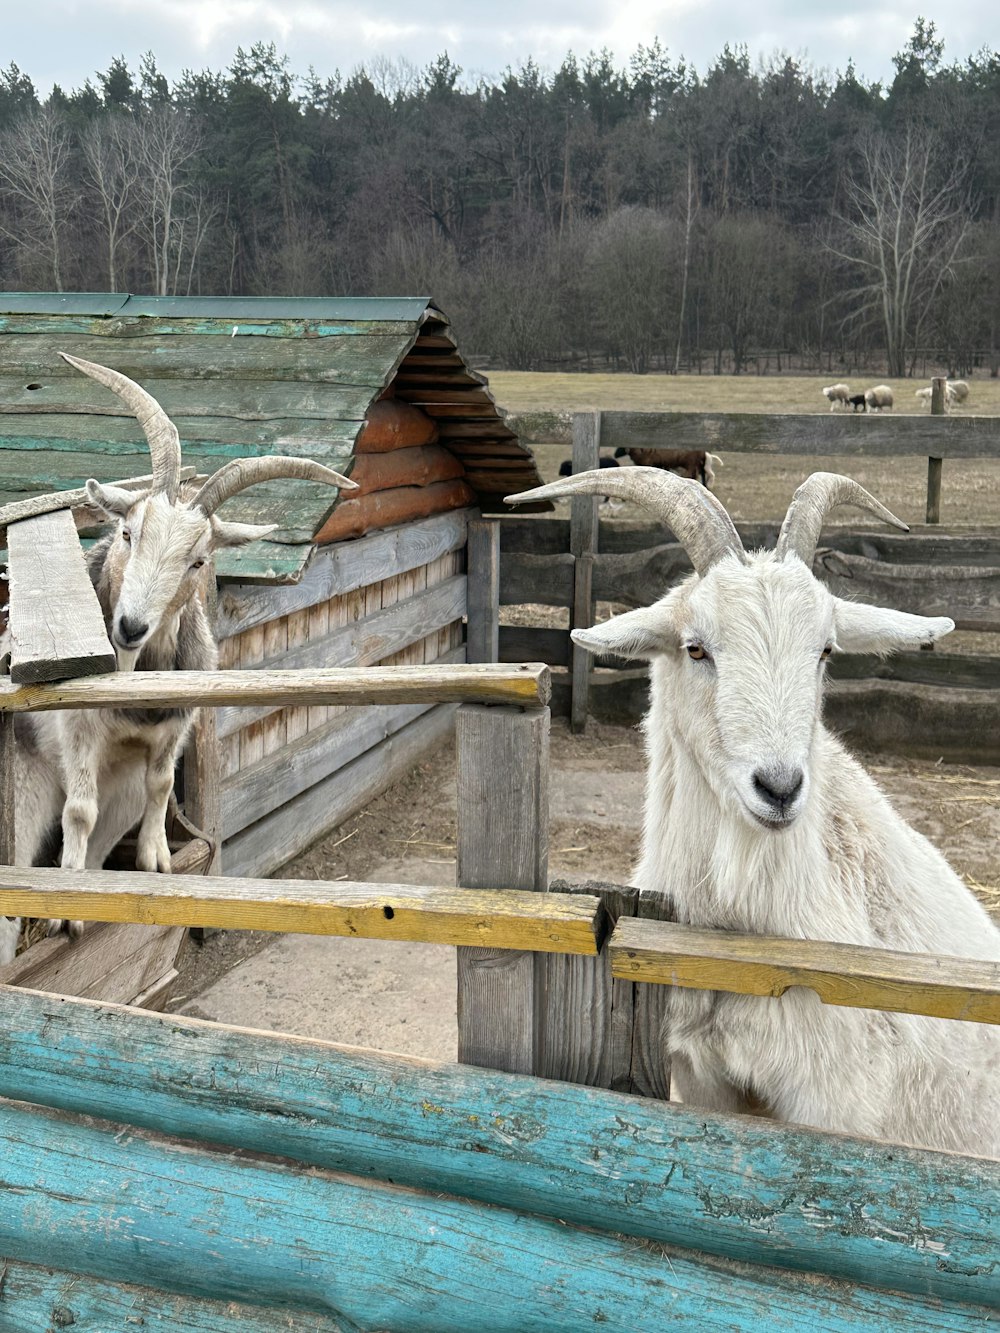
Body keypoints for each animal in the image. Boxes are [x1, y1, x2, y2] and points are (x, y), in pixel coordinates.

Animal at [0, 354, 357, 965]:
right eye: (127, 532)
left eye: (198, 561)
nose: (129, 627)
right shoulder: (76, 731)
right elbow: (78, 811)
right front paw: (66, 910)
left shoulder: (171, 731)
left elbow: (163, 784)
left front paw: (156, 859)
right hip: (23, 789)